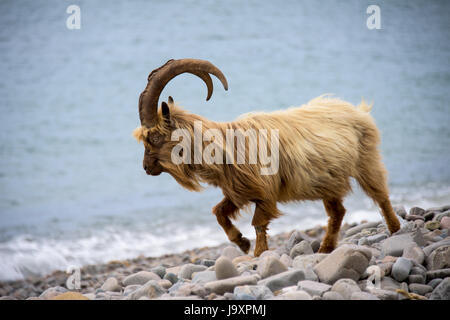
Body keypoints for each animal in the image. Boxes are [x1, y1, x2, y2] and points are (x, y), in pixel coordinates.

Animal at [134, 58, 400, 258]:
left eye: (154, 137)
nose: (146, 167)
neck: (226, 146)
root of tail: (359, 111)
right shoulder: (238, 191)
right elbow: (219, 212)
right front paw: (242, 243)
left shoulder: (264, 193)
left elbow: (259, 223)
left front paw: (258, 253)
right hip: (329, 182)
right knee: (338, 212)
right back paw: (326, 248)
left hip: (366, 160)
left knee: (380, 194)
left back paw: (395, 229)